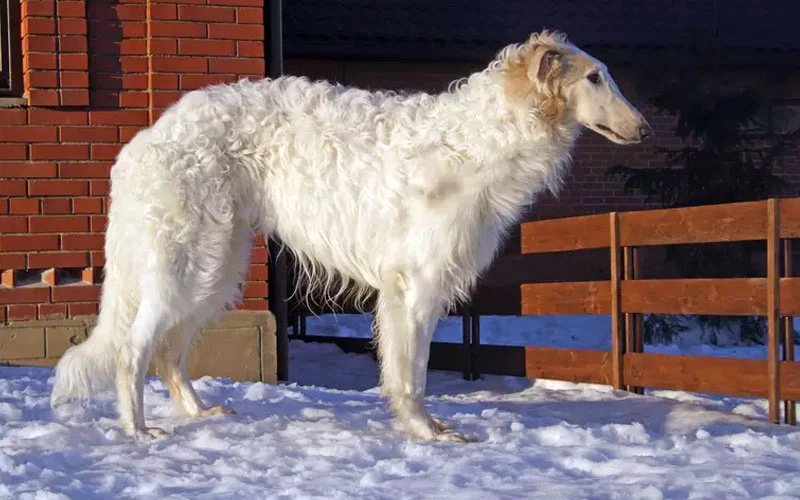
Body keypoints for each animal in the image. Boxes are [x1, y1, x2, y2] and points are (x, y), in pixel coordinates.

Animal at [48, 31, 648, 442]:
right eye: (594, 78)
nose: (643, 128)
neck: (480, 139)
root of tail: (145, 140)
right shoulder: (415, 285)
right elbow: (411, 373)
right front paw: (426, 431)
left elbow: (408, 369)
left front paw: (423, 428)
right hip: (187, 263)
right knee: (133, 349)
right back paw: (137, 431)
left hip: (217, 264)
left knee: (170, 351)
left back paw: (198, 412)